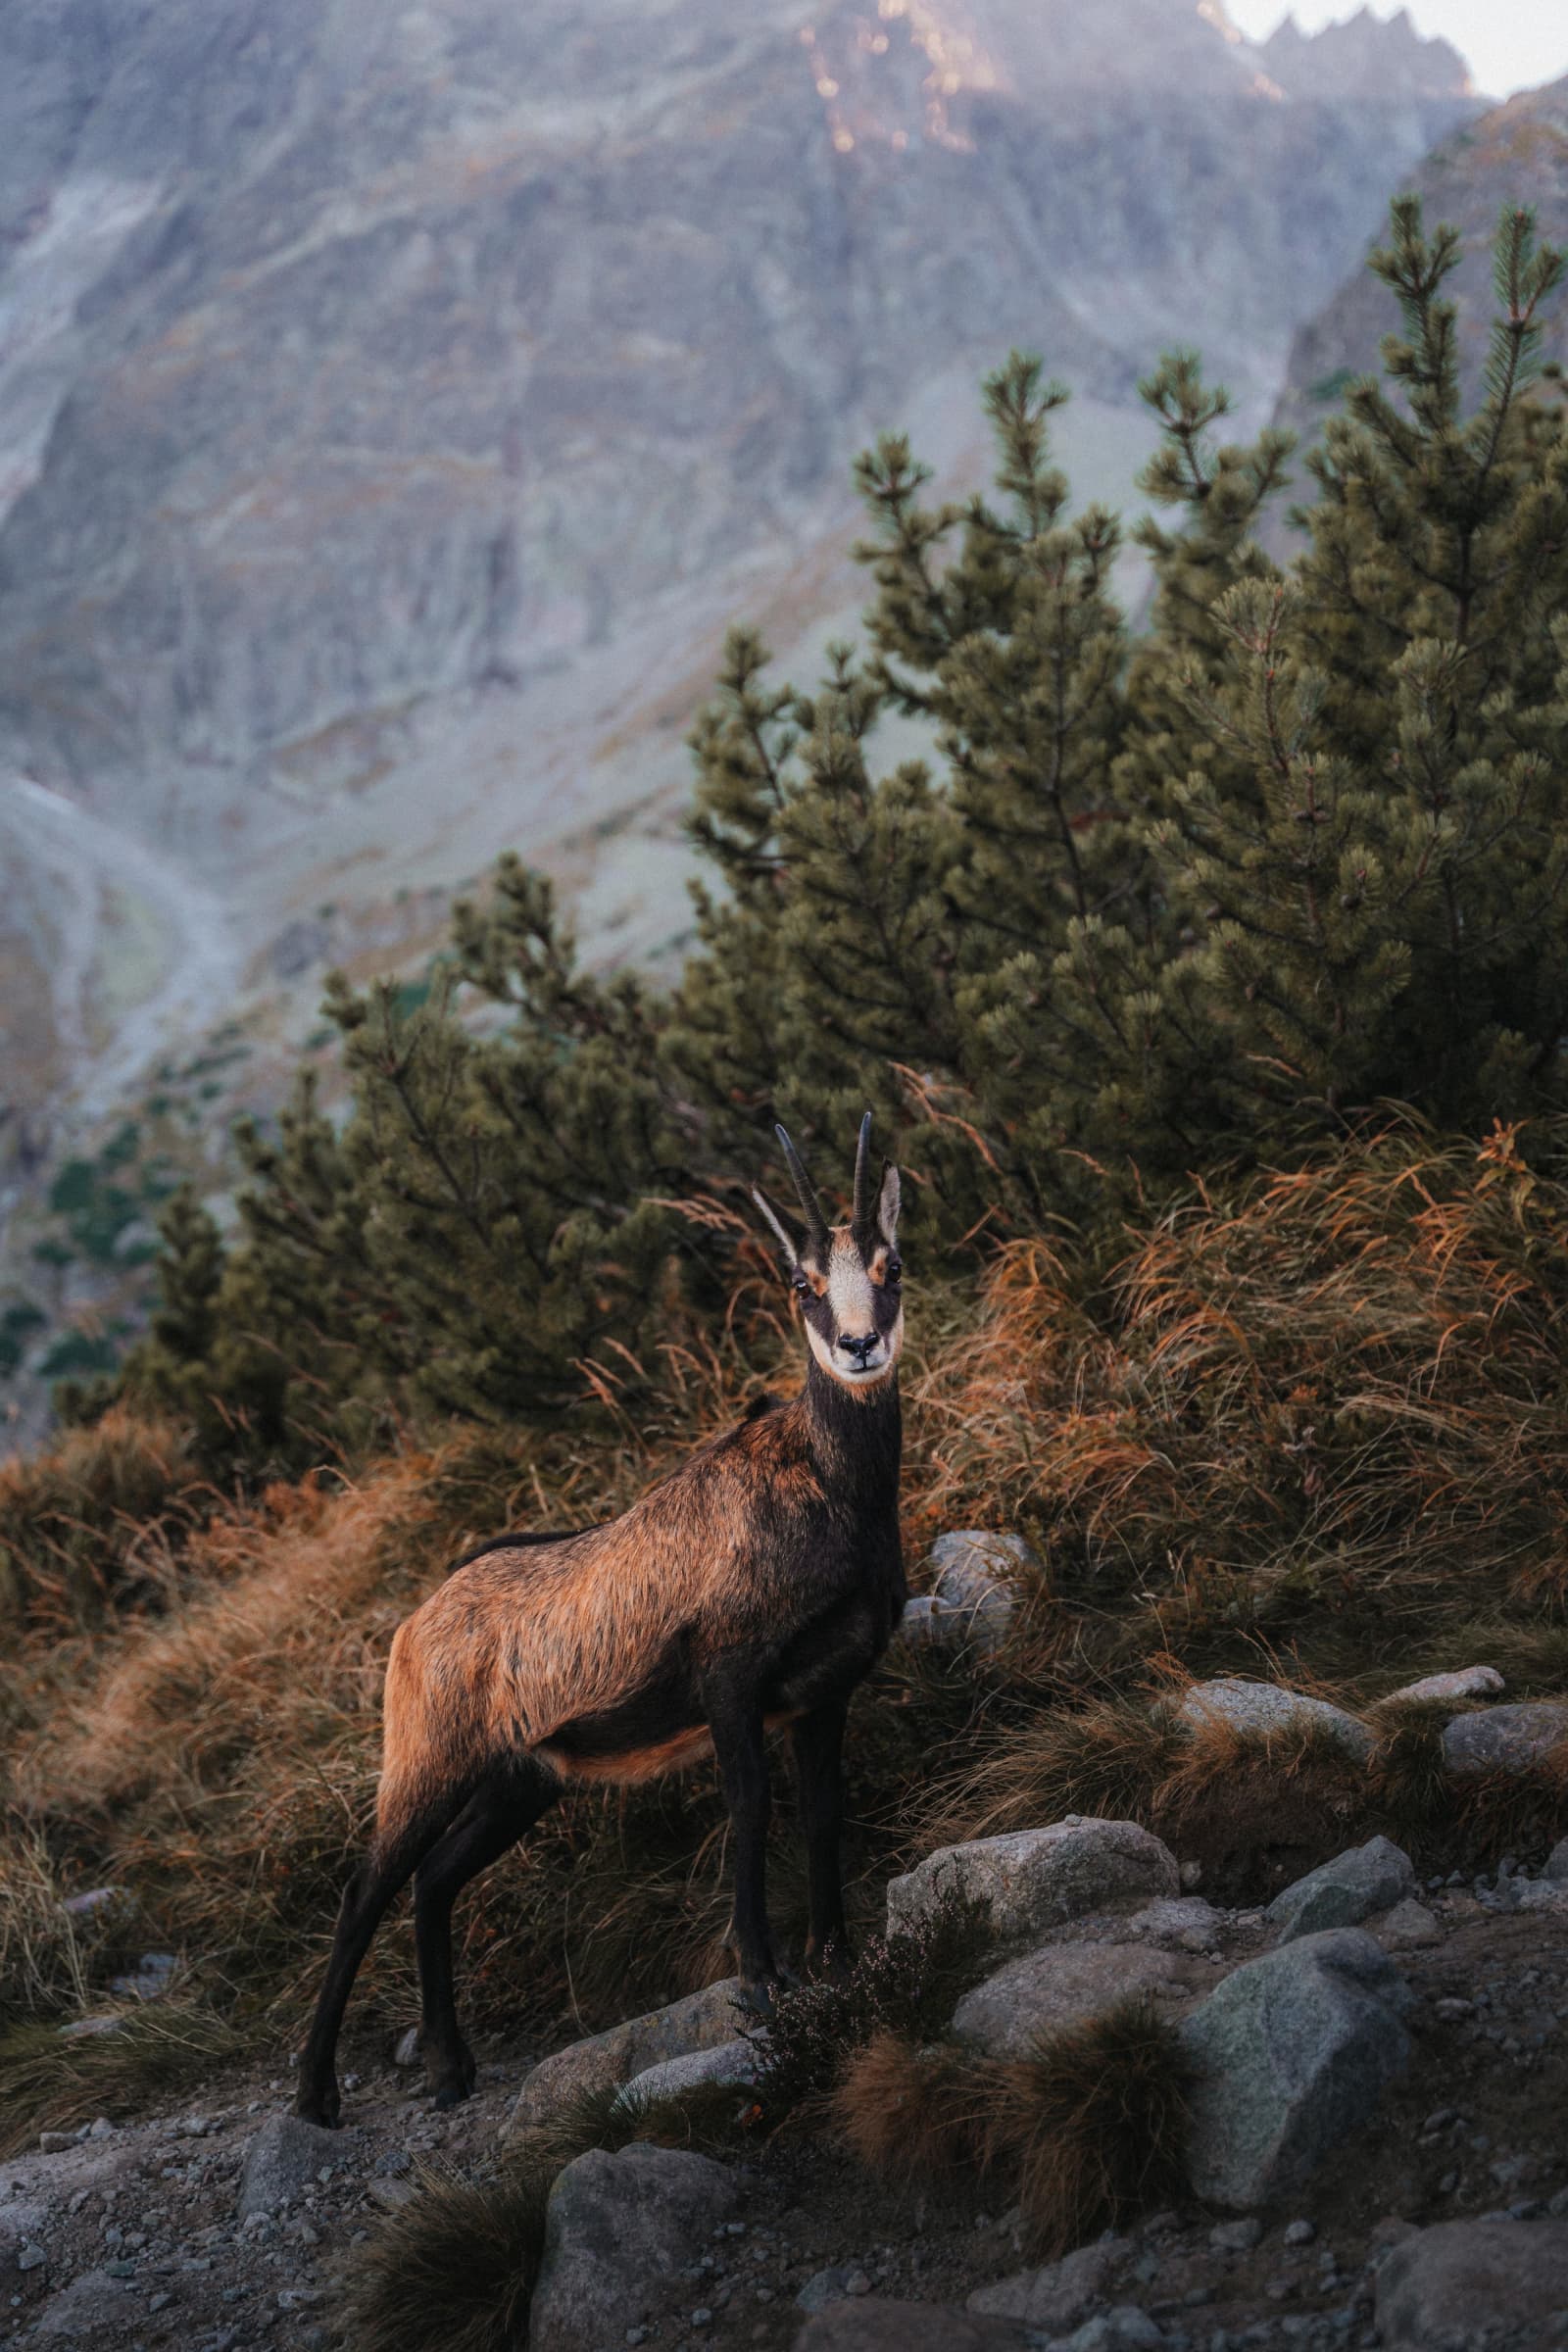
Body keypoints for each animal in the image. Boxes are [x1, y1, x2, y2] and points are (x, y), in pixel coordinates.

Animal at [293, 1114, 906, 2126]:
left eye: (892, 1265)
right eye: (802, 1282)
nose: (860, 1346)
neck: (831, 1492)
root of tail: (413, 1628)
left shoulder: (826, 1689)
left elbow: (823, 1813)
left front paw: (839, 1961)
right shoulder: (729, 1675)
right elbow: (751, 1806)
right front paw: (761, 1980)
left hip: (521, 1779)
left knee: (434, 1881)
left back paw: (452, 2069)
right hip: (429, 1758)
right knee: (364, 1889)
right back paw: (314, 2095)